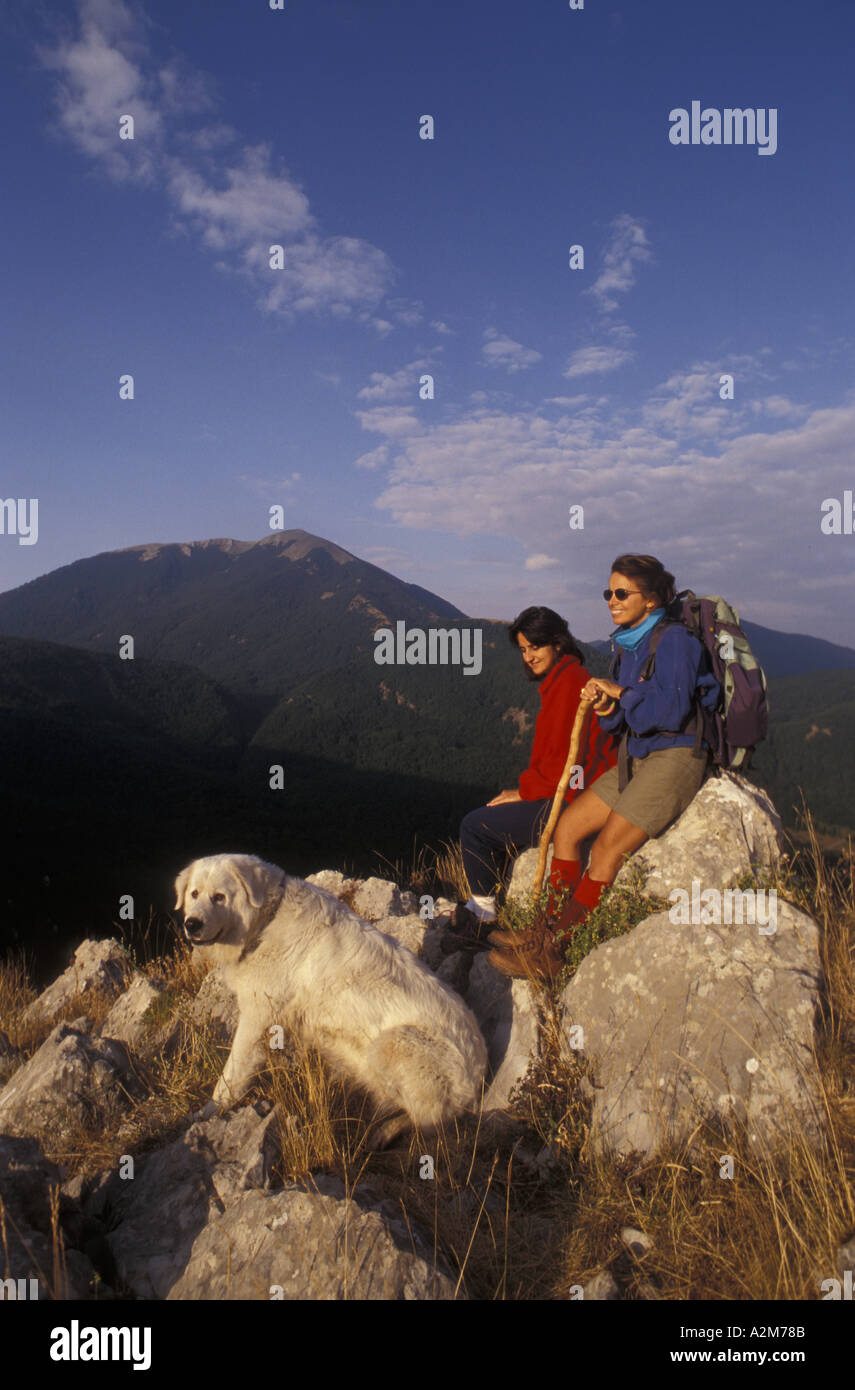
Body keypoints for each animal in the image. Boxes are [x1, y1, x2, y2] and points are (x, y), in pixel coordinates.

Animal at [173, 850, 489, 1145]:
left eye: (219, 897)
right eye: (194, 893)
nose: (192, 923)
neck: (266, 921)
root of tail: (479, 1078)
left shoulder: (257, 1016)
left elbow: (232, 1072)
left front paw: (210, 1110)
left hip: (393, 1043)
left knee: (431, 1120)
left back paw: (385, 1131)